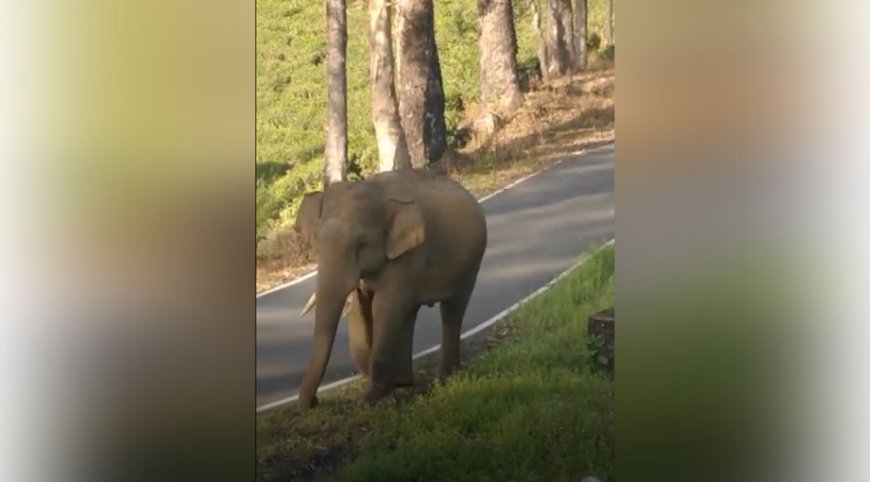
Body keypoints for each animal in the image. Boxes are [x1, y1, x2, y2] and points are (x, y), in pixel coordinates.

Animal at [294, 168, 490, 408]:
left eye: (362, 243)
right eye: (317, 242)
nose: (314, 401)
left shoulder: (410, 254)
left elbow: (385, 307)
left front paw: (369, 399)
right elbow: (361, 308)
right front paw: (384, 388)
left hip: (471, 262)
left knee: (452, 309)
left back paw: (446, 376)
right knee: (411, 311)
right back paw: (406, 382)